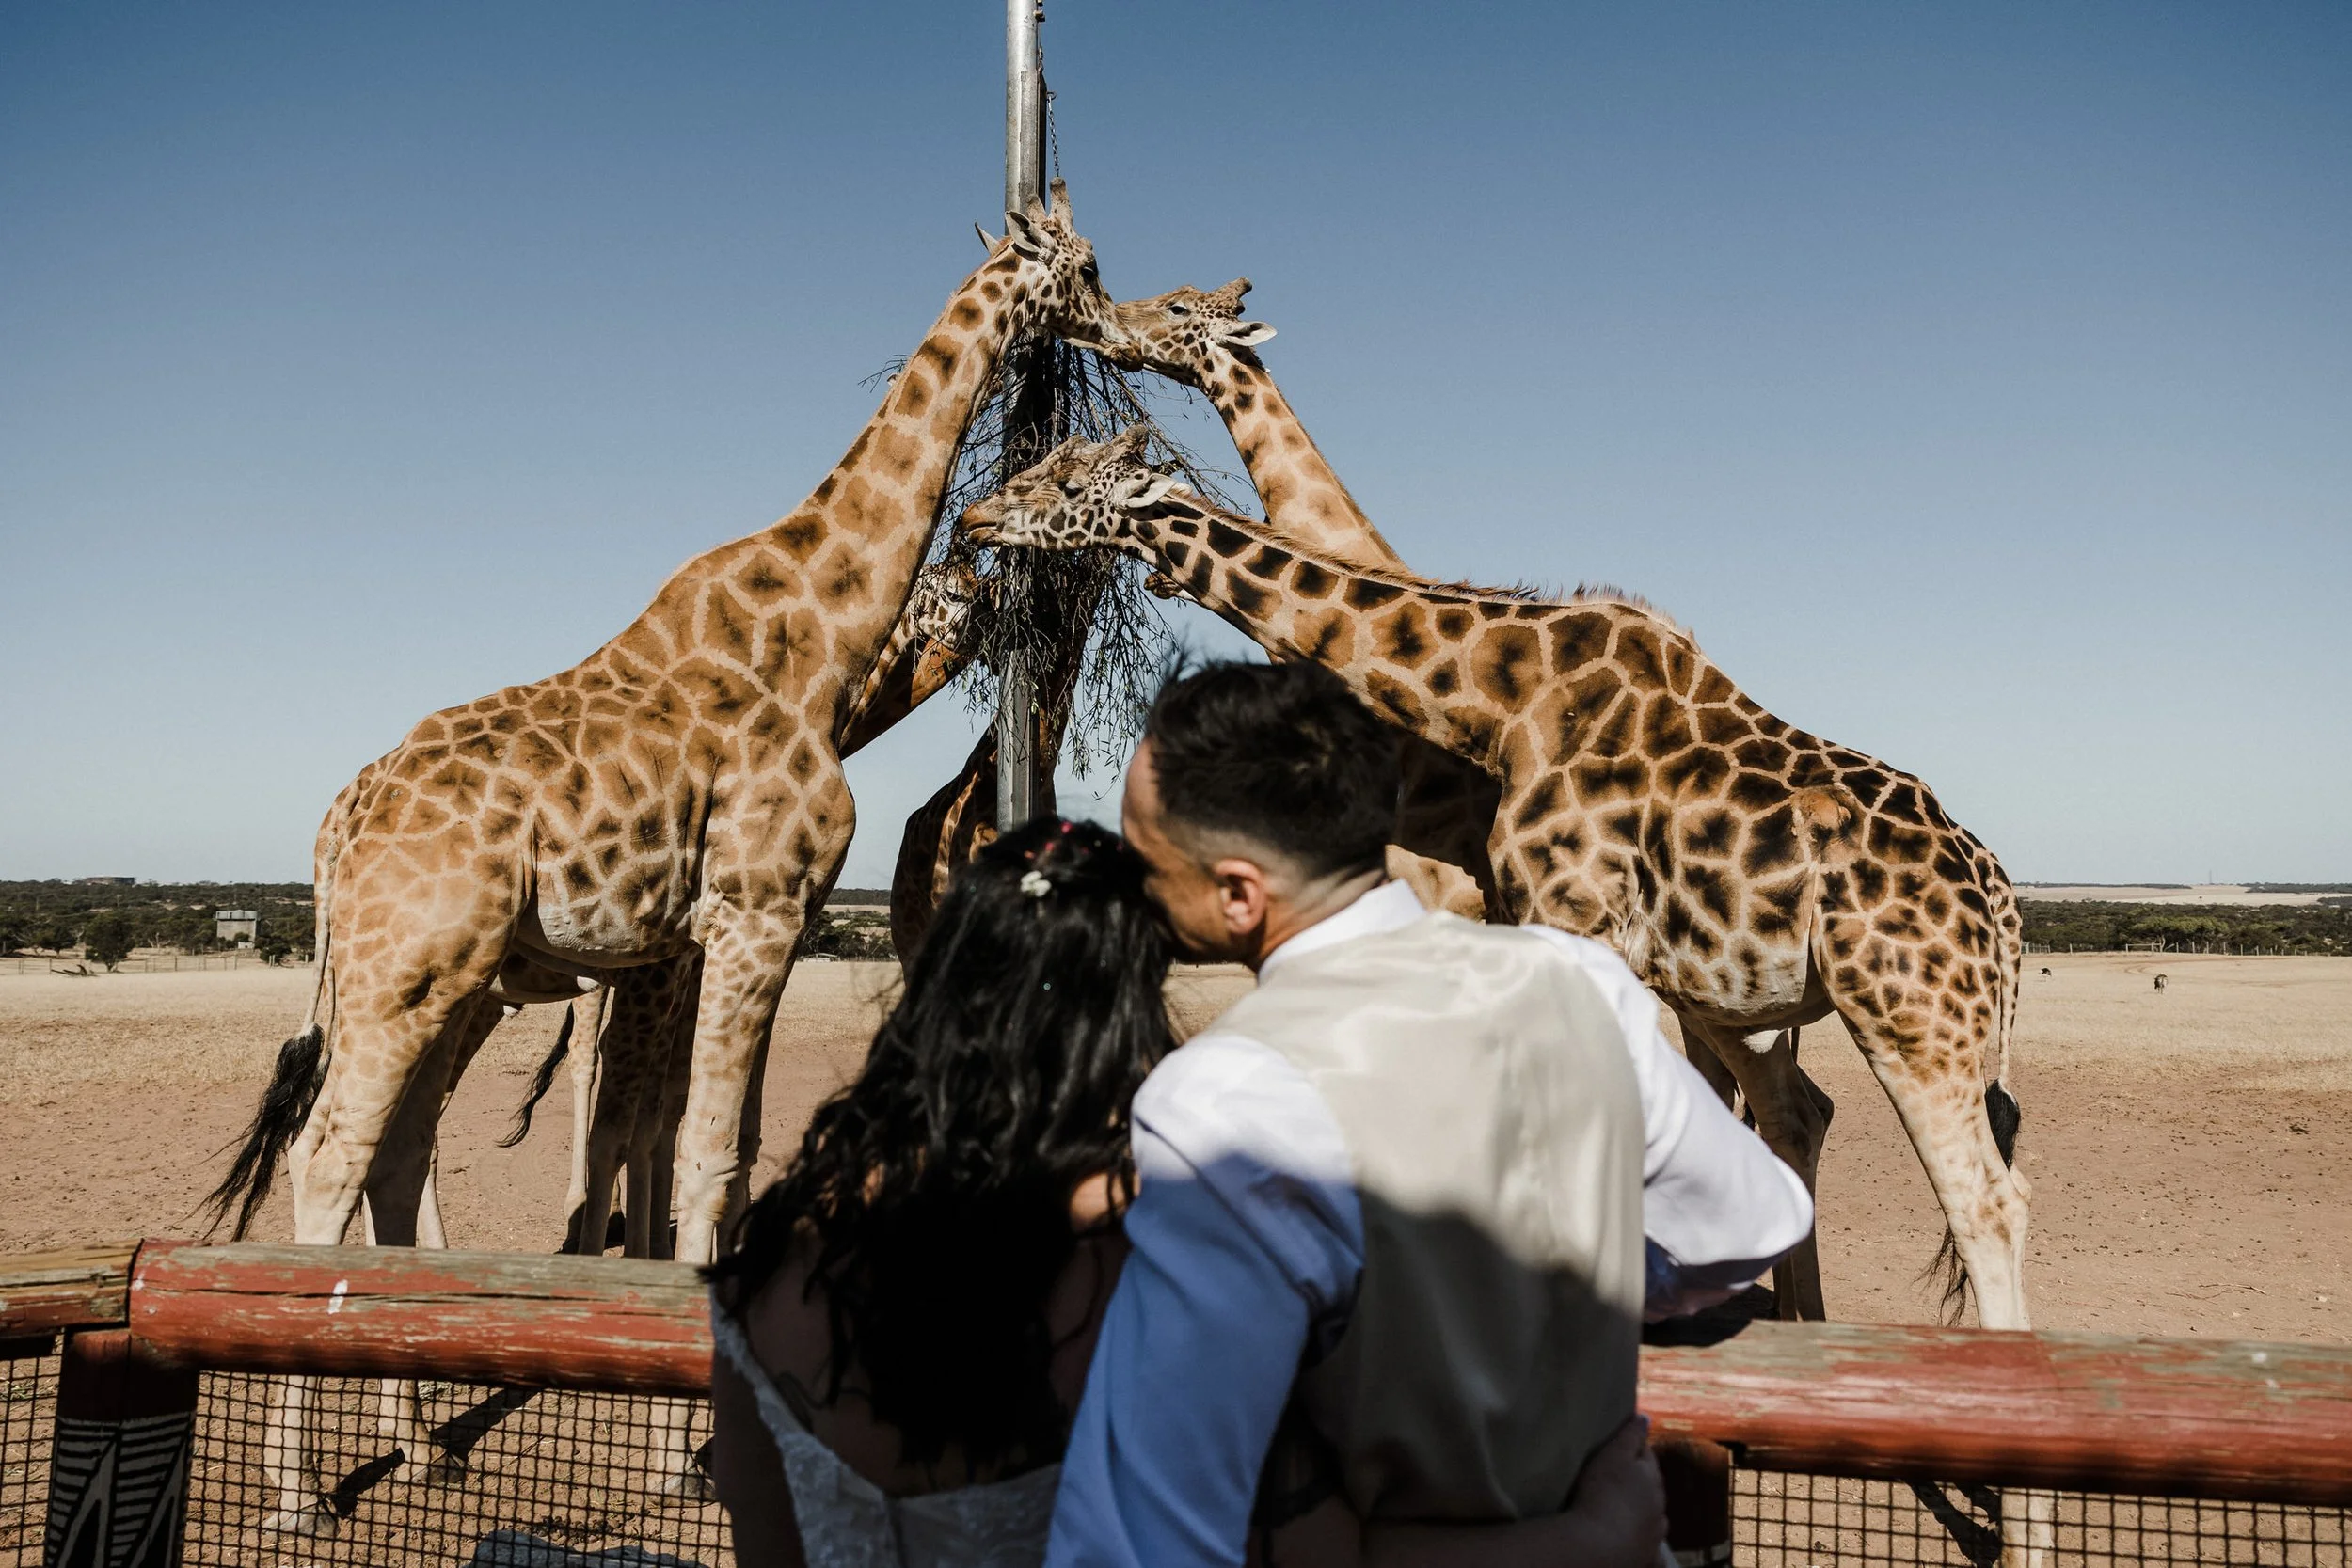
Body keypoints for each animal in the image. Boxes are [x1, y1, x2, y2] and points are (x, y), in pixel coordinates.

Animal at [213, 185, 1126, 1533]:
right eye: (1089, 267)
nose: (1127, 328)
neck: (819, 635)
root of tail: (339, 831)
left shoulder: (731, 929)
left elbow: (708, 1154)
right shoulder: (752, 911)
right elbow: (699, 1153)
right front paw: (693, 1459)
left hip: (440, 981)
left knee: (389, 1152)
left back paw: (420, 1445)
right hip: (409, 970)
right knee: (330, 1157)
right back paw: (300, 1491)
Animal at [961, 428, 2034, 1335]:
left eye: (1065, 483)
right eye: (1046, 464)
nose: (976, 516)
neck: (1499, 704)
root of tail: (1996, 900)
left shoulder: (1574, 920)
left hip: (1909, 1008)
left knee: (1986, 1200)